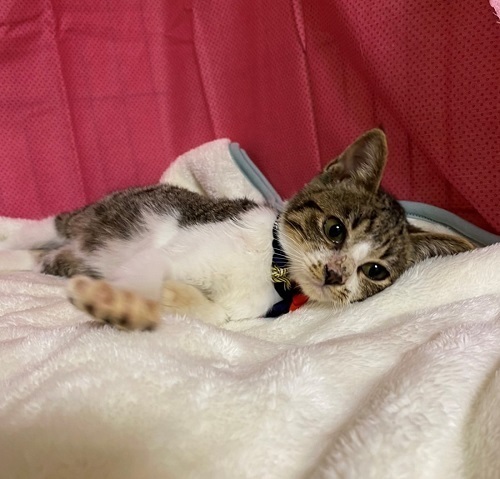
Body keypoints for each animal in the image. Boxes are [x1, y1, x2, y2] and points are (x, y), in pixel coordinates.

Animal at [0, 129, 474, 330]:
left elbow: (216, 315)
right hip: (97, 215)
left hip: (69, 256)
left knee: (44, 258)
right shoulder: (167, 251)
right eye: (335, 229)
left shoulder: (241, 308)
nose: (335, 274)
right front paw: (122, 305)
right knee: (45, 225)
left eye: (375, 270)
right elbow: (147, 273)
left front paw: (166, 299)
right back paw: (11, 235)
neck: (271, 268)